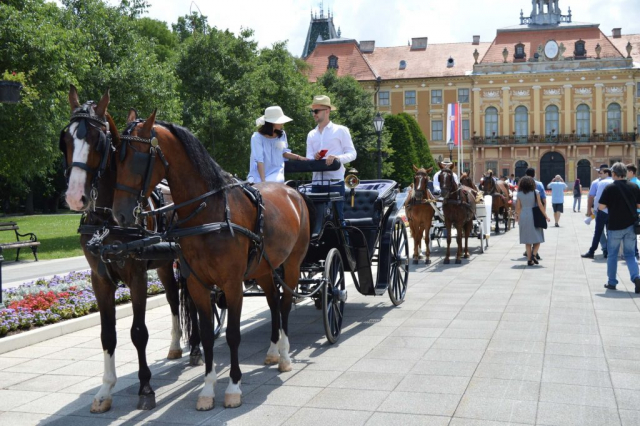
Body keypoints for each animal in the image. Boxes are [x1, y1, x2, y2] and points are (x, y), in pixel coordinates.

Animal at [62, 86, 198, 412]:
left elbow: (139, 332)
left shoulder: (137, 276)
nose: (75, 197)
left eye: (98, 141)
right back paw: (176, 346)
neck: (107, 220)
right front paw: (105, 390)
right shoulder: (99, 278)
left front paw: (145, 387)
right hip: (164, 265)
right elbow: (107, 334)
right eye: (67, 140)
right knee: (174, 299)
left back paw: (197, 349)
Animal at [110, 111, 316, 412]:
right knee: (274, 303)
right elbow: (207, 335)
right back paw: (272, 350)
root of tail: (294, 192)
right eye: (116, 158)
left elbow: (232, 335)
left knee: (286, 304)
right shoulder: (198, 284)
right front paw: (207, 389)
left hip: (291, 264)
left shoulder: (231, 284)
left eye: (137, 157)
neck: (208, 212)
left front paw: (233, 387)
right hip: (264, 269)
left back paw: (285, 357)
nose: (120, 215)